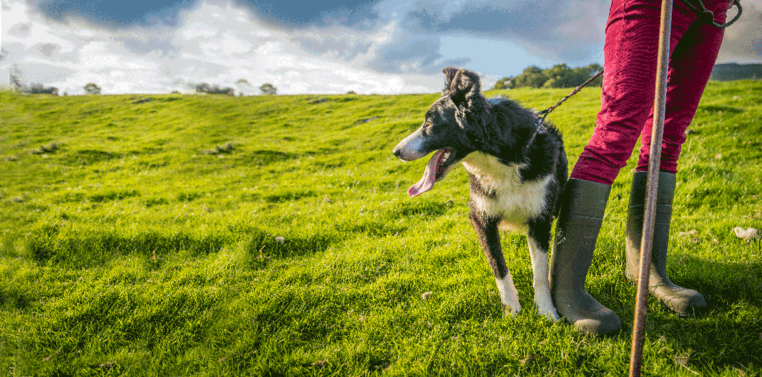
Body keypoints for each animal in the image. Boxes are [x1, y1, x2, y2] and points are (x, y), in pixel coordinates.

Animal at [392, 67, 564, 320]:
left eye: (430, 123)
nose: (396, 151)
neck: (499, 160)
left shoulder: (540, 219)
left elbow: (540, 272)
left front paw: (546, 311)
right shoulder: (481, 218)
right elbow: (499, 267)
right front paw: (512, 311)